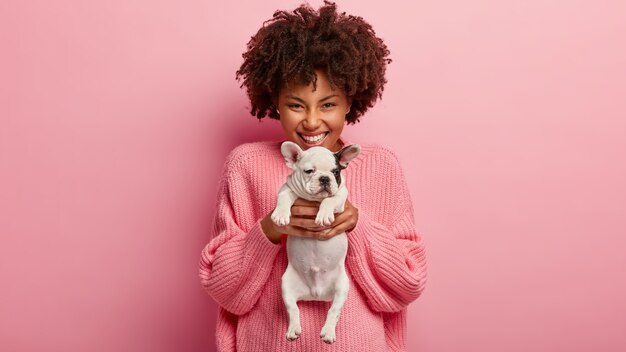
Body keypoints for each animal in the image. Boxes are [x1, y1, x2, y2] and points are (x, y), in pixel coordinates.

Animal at [270, 141, 360, 344]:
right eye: (309, 171)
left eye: (336, 172)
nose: (325, 178)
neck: (314, 200)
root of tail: (316, 294)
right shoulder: (287, 187)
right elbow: (284, 197)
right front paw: (280, 215)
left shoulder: (341, 196)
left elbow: (330, 200)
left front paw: (324, 214)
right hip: (286, 285)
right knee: (293, 309)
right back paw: (294, 329)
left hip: (342, 286)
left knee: (334, 310)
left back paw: (328, 332)